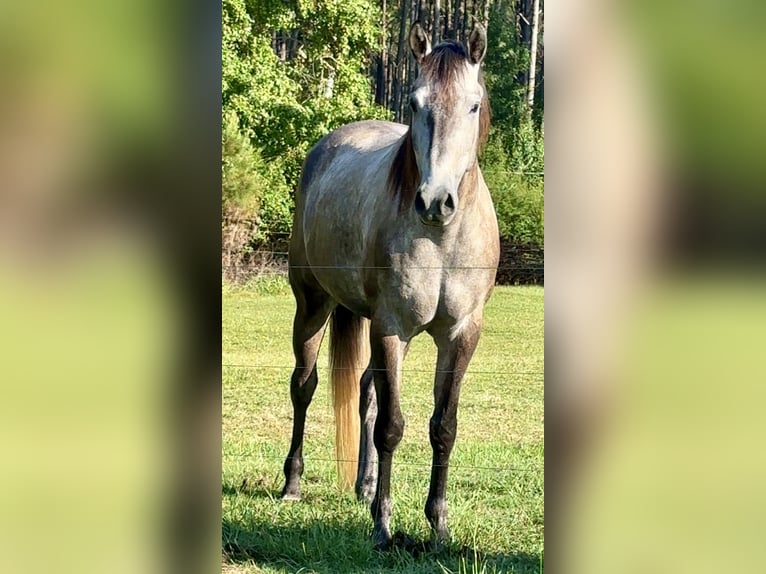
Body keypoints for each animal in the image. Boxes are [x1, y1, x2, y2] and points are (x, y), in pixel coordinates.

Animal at [280, 21, 499, 549]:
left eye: (473, 105)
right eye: (416, 103)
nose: (436, 201)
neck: (442, 238)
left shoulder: (461, 334)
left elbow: (443, 426)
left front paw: (438, 524)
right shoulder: (391, 328)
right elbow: (392, 427)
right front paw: (383, 524)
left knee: (365, 392)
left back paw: (363, 485)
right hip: (313, 305)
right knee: (304, 386)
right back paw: (293, 482)